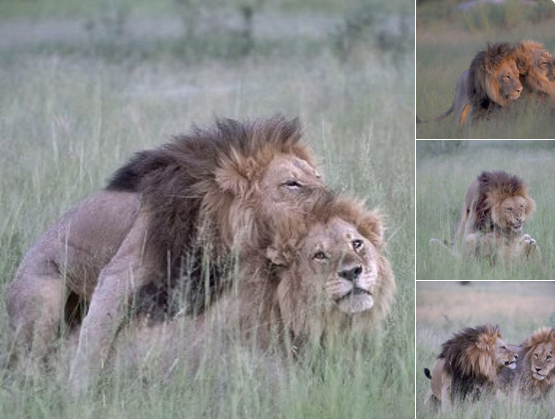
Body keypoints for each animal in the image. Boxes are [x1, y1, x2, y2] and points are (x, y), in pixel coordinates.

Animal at [4, 115, 326, 394]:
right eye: (292, 183)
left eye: (318, 177)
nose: (331, 195)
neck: (218, 216)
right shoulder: (123, 270)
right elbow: (95, 336)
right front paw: (78, 392)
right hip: (42, 299)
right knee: (30, 355)